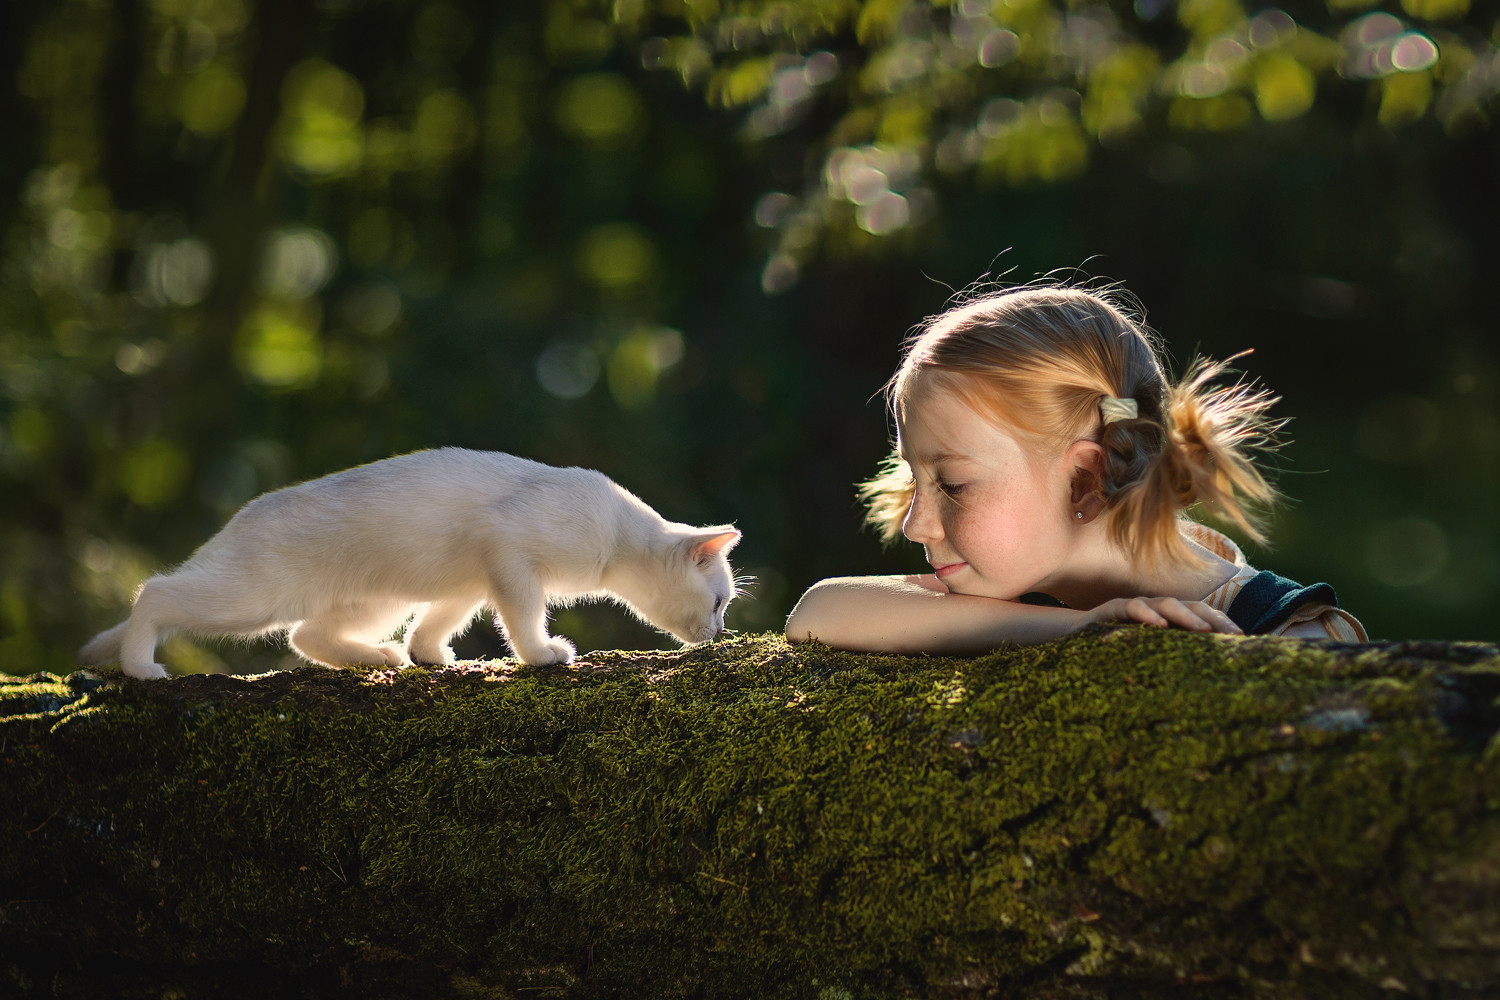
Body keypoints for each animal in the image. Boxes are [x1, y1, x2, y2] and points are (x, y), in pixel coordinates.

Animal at [79, 452, 741, 680]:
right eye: (718, 602)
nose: (718, 634)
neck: (617, 534)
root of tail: (243, 517)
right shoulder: (507, 553)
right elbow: (525, 620)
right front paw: (542, 654)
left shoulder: (473, 578)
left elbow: (439, 624)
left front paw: (431, 656)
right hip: (249, 597)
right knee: (155, 592)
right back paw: (140, 668)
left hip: (377, 602)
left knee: (306, 636)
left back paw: (381, 658)